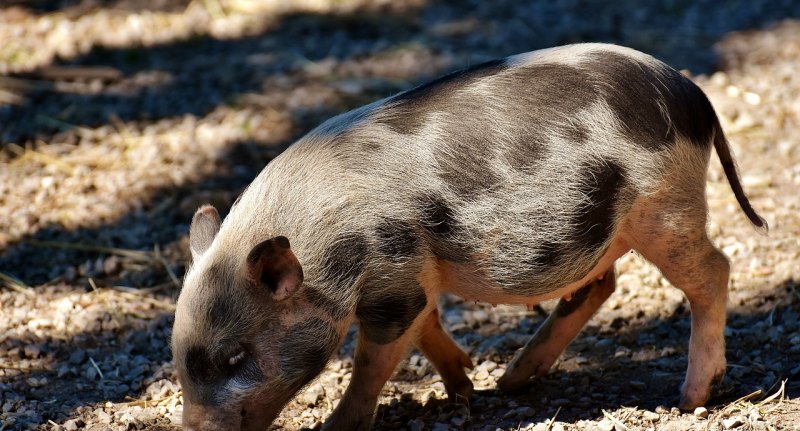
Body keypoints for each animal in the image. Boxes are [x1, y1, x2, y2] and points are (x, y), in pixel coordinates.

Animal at [172, 44, 764, 431]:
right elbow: (428, 324)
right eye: (180, 355)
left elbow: (374, 360)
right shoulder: (414, 274)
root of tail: (692, 94)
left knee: (714, 270)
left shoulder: (392, 277)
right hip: (603, 224)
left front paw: (338, 427)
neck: (327, 246)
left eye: (235, 358)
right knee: (599, 285)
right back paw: (512, 381)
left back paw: (689, 399)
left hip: (666, 207)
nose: (195, 427)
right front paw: (464, 386)